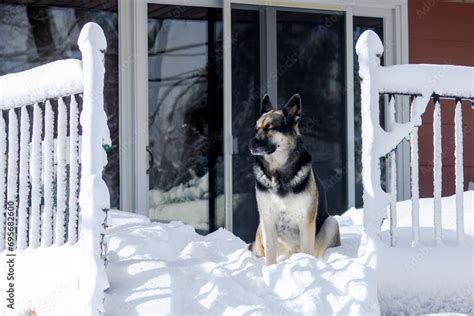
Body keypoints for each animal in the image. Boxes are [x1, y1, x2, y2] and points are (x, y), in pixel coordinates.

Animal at [248, 93, 340, 264]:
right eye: (256, 129)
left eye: (270, 128)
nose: (250, 145)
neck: (278, 174)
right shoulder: (267, 220)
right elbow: (270, 256)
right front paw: (270, 269)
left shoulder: (306, 221)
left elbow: (307, 250)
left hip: (331, 223)